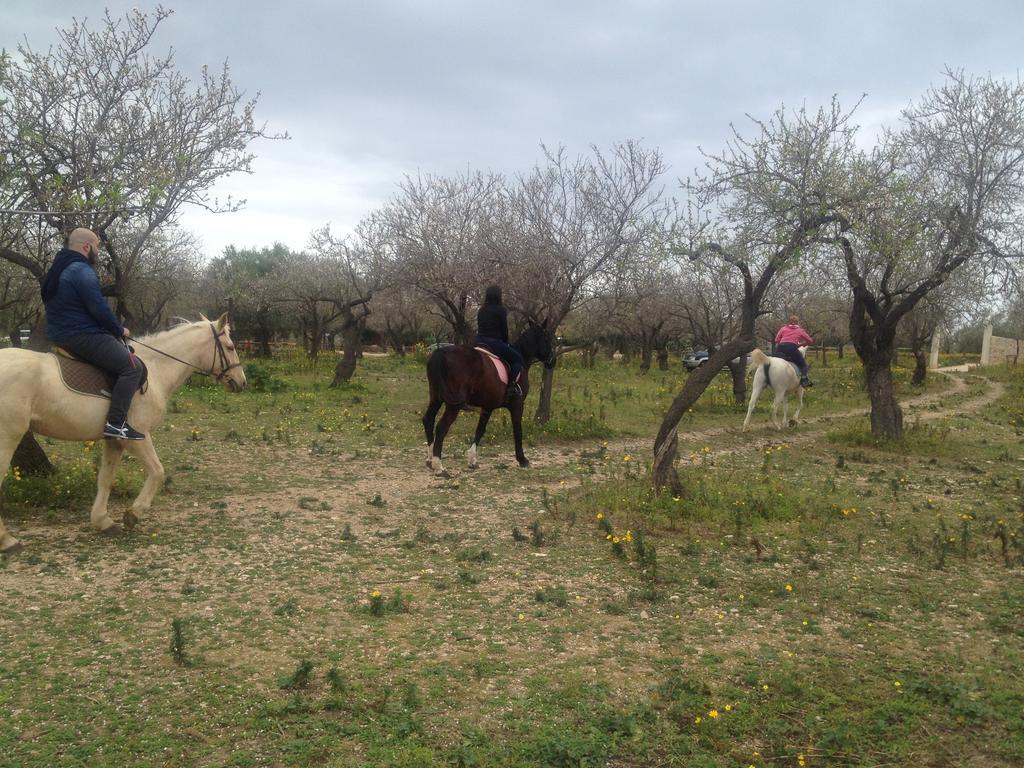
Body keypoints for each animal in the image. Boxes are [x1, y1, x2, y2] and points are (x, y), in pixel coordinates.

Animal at [0, 313, 245, 552]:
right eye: (230, 346)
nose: (241, 382)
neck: (156, 369)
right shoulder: (137, 438)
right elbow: (157, 471)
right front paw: (133, 514)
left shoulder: (114, 441)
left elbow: (105, 479)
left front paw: (103, 521)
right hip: (8, 437)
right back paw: (7, 541)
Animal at [421, 319, 557, 475]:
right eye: (547, 338)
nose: (553, 361)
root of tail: (441, 352)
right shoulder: (517, 405)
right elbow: (517, 429)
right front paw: (522, 459)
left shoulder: (488, 406)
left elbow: (480, 430)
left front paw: (472, 460)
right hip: (452, 406)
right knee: (441, 427)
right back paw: (439, 467)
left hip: (436, 398)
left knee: (428, 420)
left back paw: (430, 460)